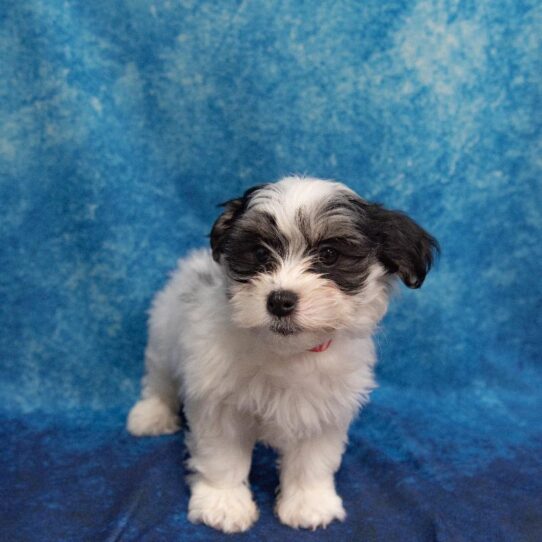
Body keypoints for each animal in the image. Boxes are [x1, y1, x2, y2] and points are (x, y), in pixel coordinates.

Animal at [129, 176, 442, 532]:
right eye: (260, 253)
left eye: (329, 254)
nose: (279, 300)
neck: (288, 352)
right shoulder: (219, 399)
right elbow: (222, 454)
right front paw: (223, 503)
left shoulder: (324, 408)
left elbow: (312, 459)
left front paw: (309, 503)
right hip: (164, 332)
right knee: (160, 378)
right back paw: (151, 414)